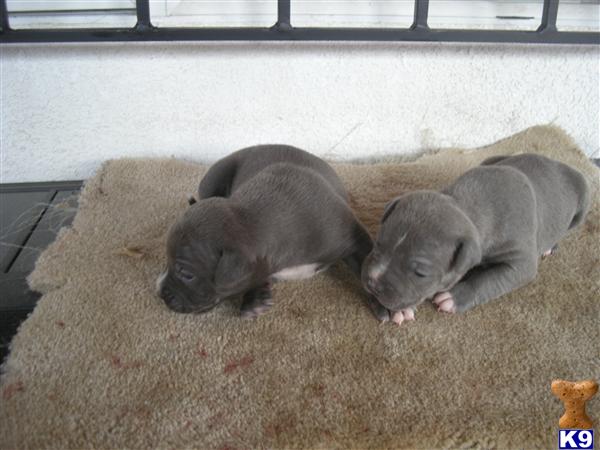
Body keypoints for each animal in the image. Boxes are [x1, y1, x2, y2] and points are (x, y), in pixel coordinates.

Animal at [156, 144, 390, 320]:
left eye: (186, 274)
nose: (159, 292)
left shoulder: (351, 235)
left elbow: (367, 265)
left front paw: (386, 302)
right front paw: (255, 298)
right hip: (212, 181)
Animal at [360, 153, 592, 326]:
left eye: (421, 273)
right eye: (378, 244)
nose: (372, 282)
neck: (469, 205)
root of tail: (556, 162)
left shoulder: (521, 262)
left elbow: (489, 279)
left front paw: (454, 297)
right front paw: (394, 309)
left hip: (583, 200)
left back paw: (550, 246)